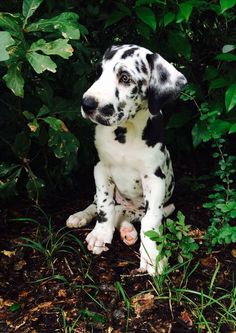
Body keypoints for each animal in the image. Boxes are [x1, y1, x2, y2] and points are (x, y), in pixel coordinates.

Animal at [66, 44, 186, 274]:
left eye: (125, 78)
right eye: (98, 72)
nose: (87, 104)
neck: (125, 133)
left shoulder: (154, 179)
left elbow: (150, 220)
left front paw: (152, 256)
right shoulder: (100, 169)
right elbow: (104, 205)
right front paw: (100, 234)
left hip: (168, 206)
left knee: (128, 215)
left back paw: (128, 231)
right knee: (101, 205)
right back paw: (81, 216)